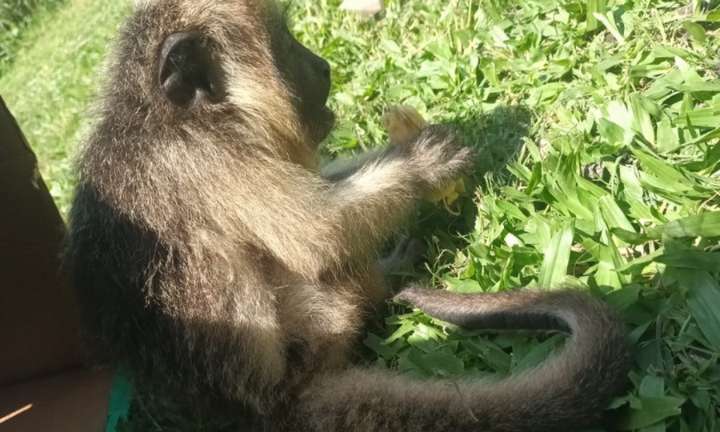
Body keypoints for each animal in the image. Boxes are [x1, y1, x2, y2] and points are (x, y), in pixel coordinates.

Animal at [64, 0, 631, 431]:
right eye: (286, 46)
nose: (323, 65)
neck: (161, 112)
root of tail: (269, 412)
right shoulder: (204, 155)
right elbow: (317, 234)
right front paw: (422, 166)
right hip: (321, 324)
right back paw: (386, 279)